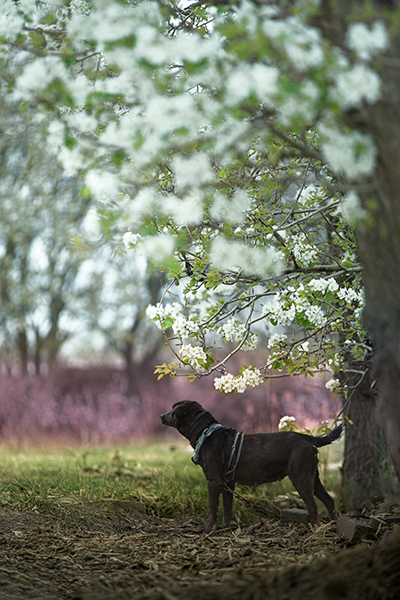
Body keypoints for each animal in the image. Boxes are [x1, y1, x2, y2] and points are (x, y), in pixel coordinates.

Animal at [161, 400, 342, 532]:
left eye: (173, 410)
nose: (162, 415)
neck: (206, 432)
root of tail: (308, 439)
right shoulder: (228, 484)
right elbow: (227, 509)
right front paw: (225, 529)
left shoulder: (214, 482)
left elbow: (213, 510)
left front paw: (207, 531)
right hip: (313, 477)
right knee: (329, 500)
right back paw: (332, 525)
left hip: (300, 477)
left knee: (313, 506)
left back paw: (312, 528)